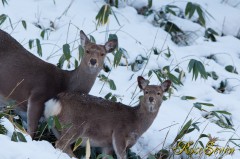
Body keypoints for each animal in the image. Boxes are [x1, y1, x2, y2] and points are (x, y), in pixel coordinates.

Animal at [43, 76, 171, 158]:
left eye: (159, 93)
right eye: (146, 91)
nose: (151, 98)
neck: (137, 123)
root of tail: (56, 101)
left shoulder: (107, 145)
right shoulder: (119, 134)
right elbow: (121, 156)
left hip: (57, 127)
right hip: (75, 125)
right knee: (61, 144)